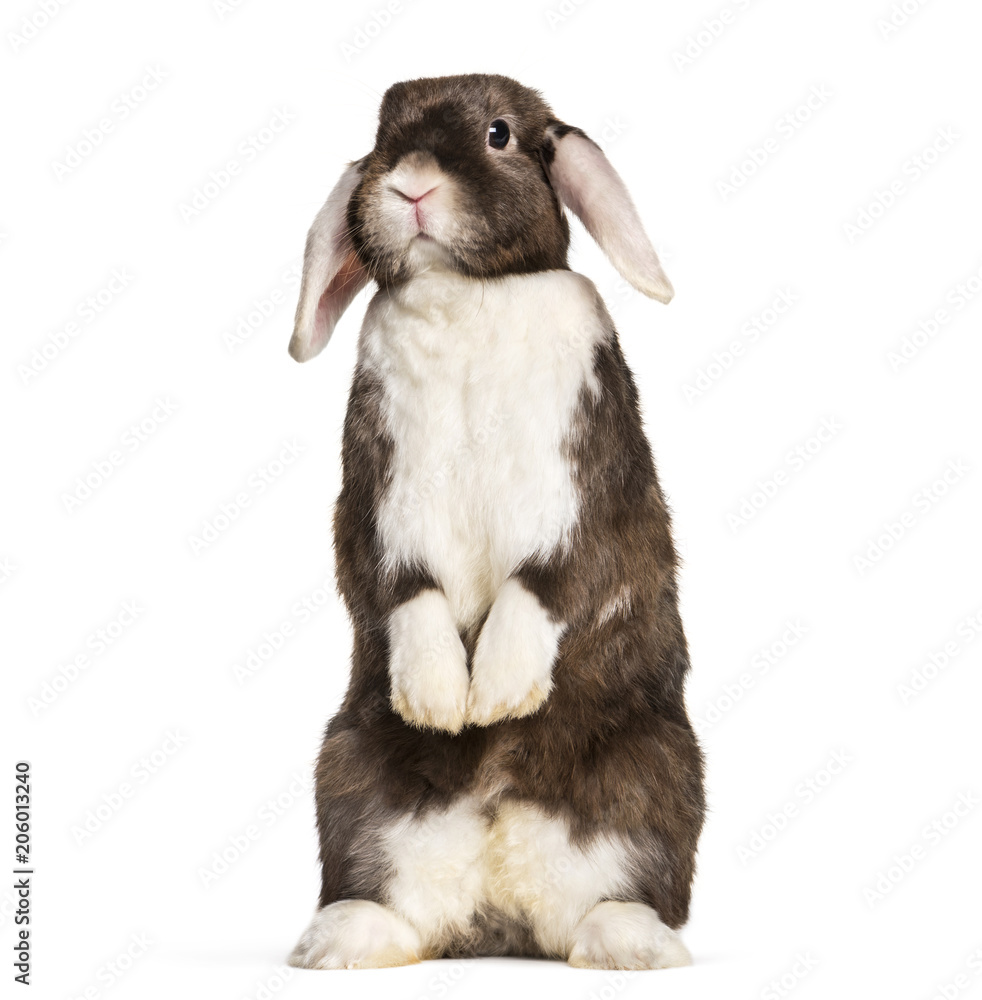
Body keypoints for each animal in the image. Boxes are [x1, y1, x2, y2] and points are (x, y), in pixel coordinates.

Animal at [286, 74, 705, 971]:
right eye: (382, 134)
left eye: (500, 133)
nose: (410, 184)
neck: (465, 291)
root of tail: (500, 907)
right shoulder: (379, 506)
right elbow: (405, 591)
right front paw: (443, 703)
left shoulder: (586, 493)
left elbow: (549, 582)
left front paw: (500, 694)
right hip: (348, 777)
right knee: (391, 898)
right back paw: (337, 941)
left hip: (658, 772)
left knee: (618, 897)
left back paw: (636, 945)